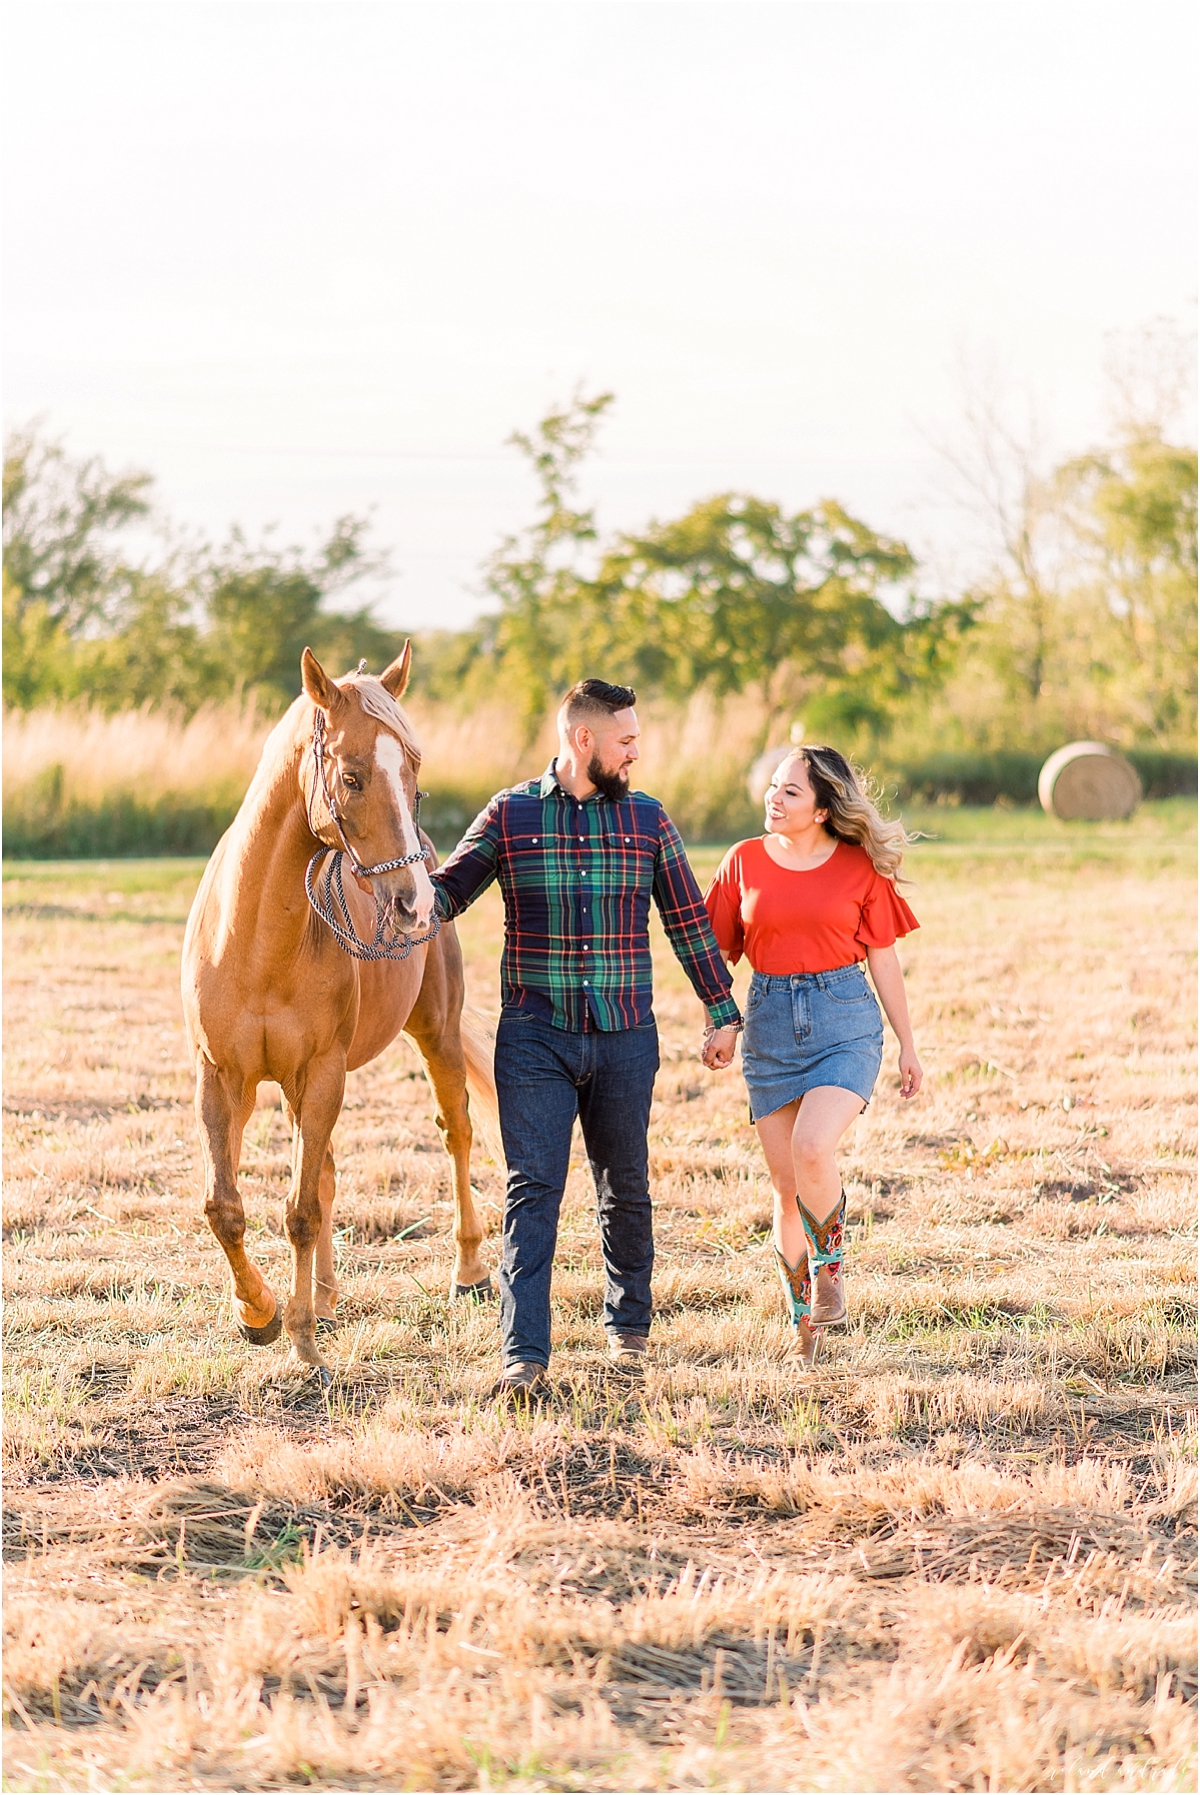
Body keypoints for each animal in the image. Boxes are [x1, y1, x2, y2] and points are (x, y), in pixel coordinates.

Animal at [182, 646, 491, 1371]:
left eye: (413, 776)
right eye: (351, 777)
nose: (414, 903)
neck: (257, 938)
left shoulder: (322, 1073)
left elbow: (299, 1211)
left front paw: (300, 1342)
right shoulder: (223, 1078)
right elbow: (226, 1207)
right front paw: (259, 1314)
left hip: (434, 1033)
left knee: (456, 1134)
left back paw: (467, 1273)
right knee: (323, 1173)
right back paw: (322, 1298)